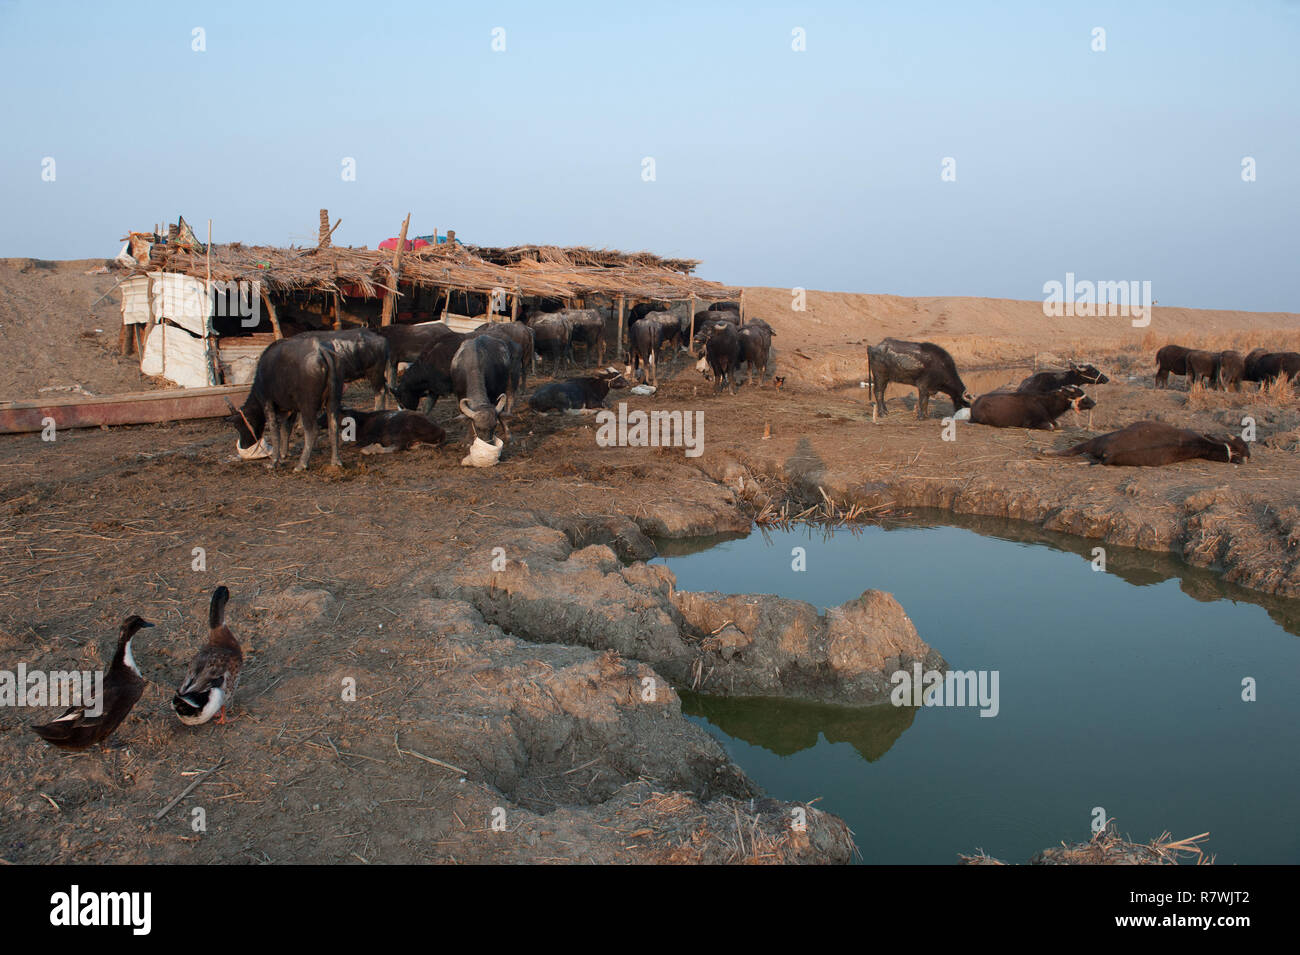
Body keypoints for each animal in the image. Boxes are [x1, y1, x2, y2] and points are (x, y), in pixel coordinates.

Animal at [231, 335, 340, 470]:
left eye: (240, 425)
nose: (244, 446)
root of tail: (320, 350)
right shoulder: (290, 409)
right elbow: (286, 429)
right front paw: (283, 453)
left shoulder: (268, 402)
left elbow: (275, 430)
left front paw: (274, 461)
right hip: (333, 401)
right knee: (334, 426)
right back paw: (335, 461)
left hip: (307, 406)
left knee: (313, 430)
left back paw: (301, 464)